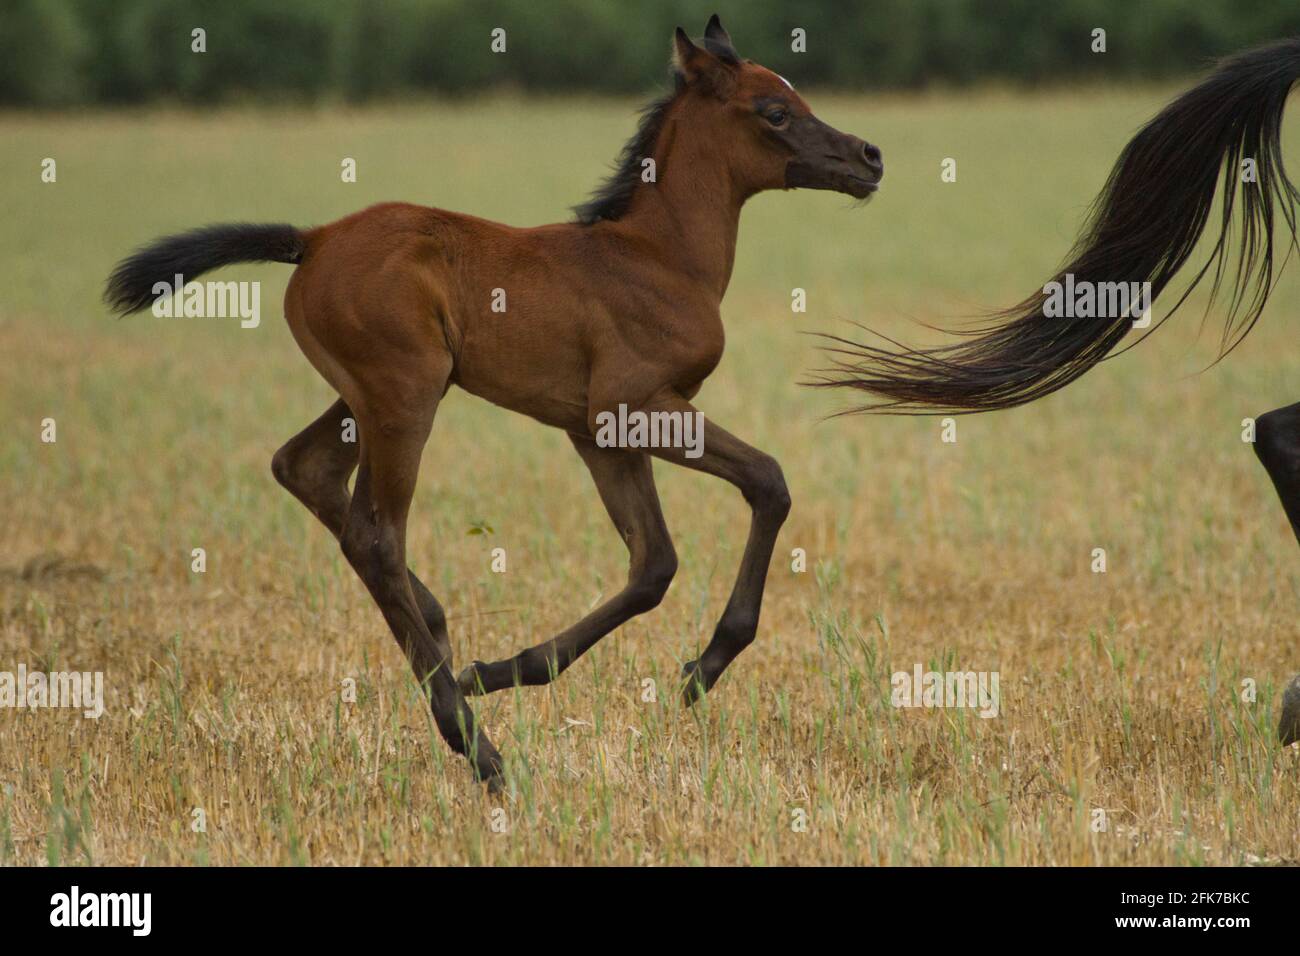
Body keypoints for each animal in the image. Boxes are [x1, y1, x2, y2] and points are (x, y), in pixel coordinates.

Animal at [106, 16, 883, 790]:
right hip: (406, 395)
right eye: (774, 110)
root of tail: (314, 239)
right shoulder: (632, 407)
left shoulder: (596, 433)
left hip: (372, 396)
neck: (658, 257)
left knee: (305, 468)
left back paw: (442, 637)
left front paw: (500, 669)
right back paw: (477, 746)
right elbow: (767, 482)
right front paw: (705, 666)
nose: (869, 157)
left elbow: (653, 563)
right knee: (374, 536)